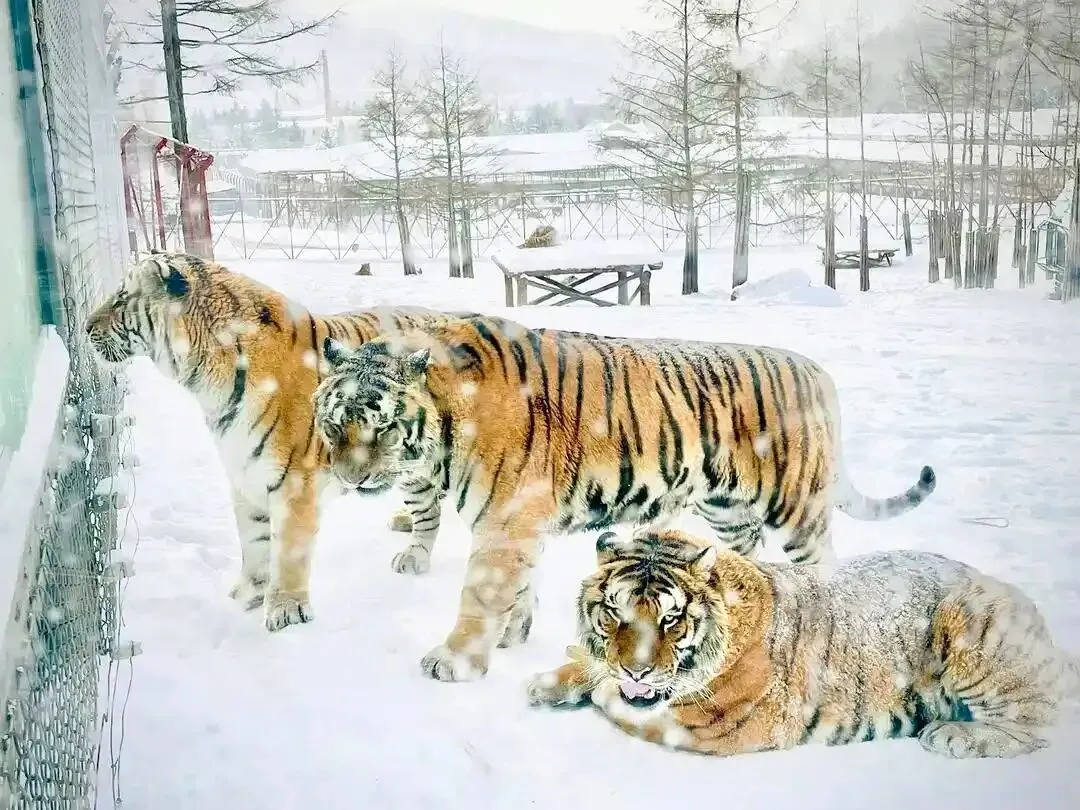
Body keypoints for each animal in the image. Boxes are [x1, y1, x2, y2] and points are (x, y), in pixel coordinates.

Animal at [83, 250, 471, 632]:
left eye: (121, 298)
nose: (86, 327)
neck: (206, 377)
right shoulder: (245, 472)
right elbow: (253, 540)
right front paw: (250, 594)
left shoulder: (294, 481)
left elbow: (288, 551)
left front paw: (286, 611)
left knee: (429, 508)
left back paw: (414, 555)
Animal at [311, 314, 937, 682]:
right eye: (334, 422)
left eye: (381, 426)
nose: (349, 478)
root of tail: (817, 371)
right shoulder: (520, 522)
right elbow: (520, 587)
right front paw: (515, 634)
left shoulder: (506, 520)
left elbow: (481, 594)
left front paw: (454, 661)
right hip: (728, 509)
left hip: (796, 507)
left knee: (822, 569)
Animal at [527, 526, 1080, 760]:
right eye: (613, 612)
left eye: (671, 619)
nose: (636, 671)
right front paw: (550, 682)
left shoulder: (722, 729)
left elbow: (623, 709)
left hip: (971, 623)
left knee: (1036, 722)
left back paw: (952, 735)